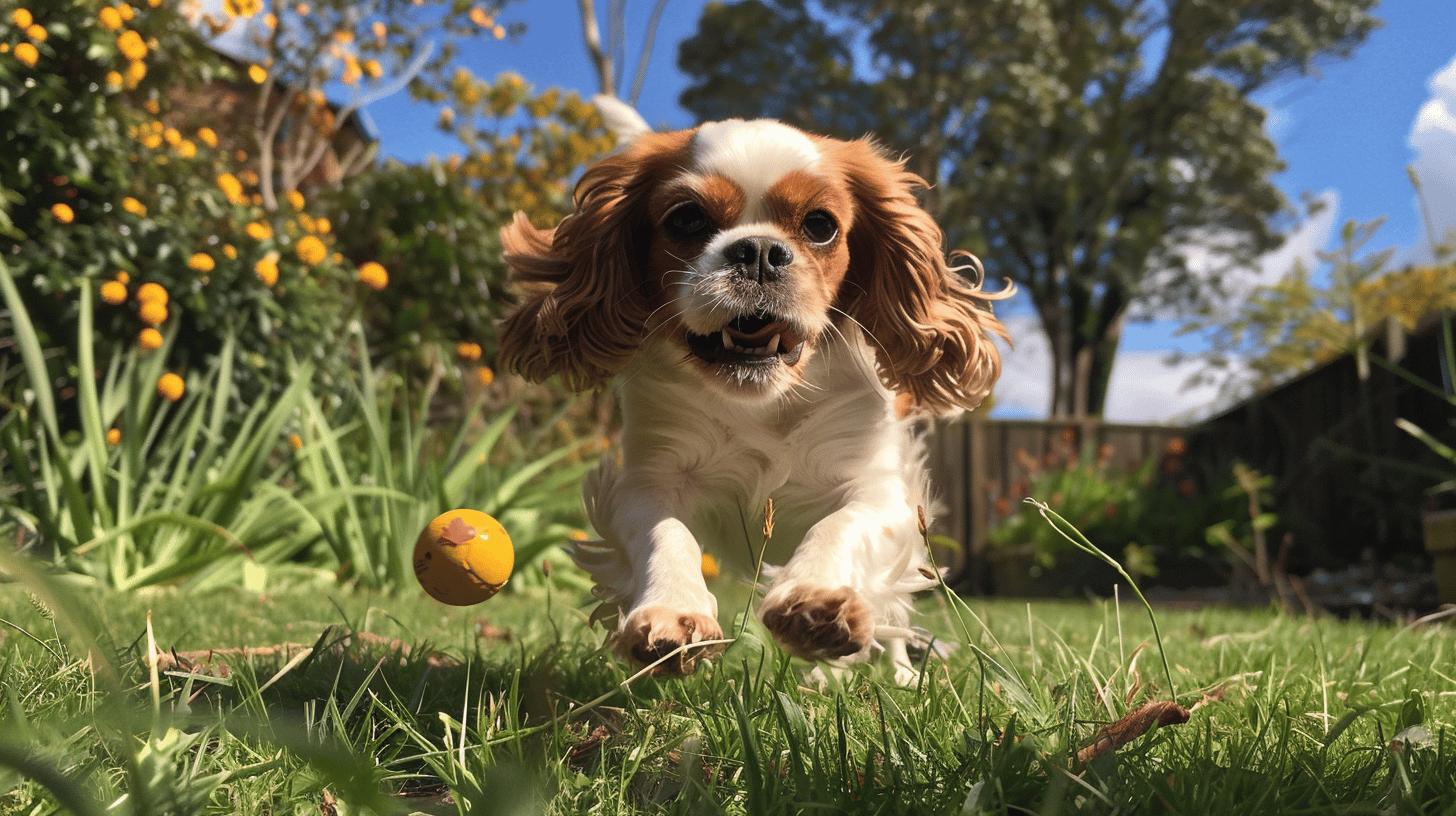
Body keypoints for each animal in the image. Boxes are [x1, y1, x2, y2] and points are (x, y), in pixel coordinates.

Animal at [495, 99, 1007, 679]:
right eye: (687, 219)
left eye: (820, 225)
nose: (759, 250)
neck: (761, 400)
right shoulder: (649, 479)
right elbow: (664, 535)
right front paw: (671, 614)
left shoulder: (879, 491)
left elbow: (843, 524)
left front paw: (816, 602)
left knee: (895, 612)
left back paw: (886, 674)